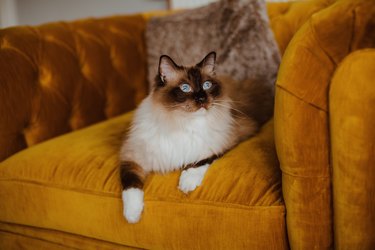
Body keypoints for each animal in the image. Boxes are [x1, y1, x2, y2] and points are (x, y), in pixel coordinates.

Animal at [119, 51, 274, 223]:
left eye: (206, 85)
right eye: (185, 88)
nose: (201, 99)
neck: (182, 122)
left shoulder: (227, 141)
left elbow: (202, 160)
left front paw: (187, 183)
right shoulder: (132, 157)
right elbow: (131, 185)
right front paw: (132, 215)